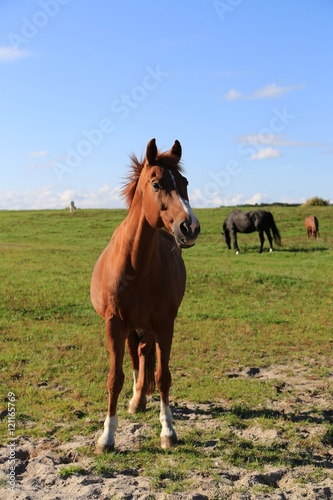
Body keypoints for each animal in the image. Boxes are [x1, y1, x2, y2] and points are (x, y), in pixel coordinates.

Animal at [90, 138, 200, 454]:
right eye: (156, 184)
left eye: (185, 183)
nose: (190, 227)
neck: (136, 266)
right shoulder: (114, 324)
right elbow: (115, 378)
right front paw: (107, 437)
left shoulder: (164, 325)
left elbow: (163, 377)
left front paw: (168, 431)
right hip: (130, 327)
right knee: (134, 356)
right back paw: (135, 400)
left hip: (148, 327)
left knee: (142, 353)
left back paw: (140, 398)